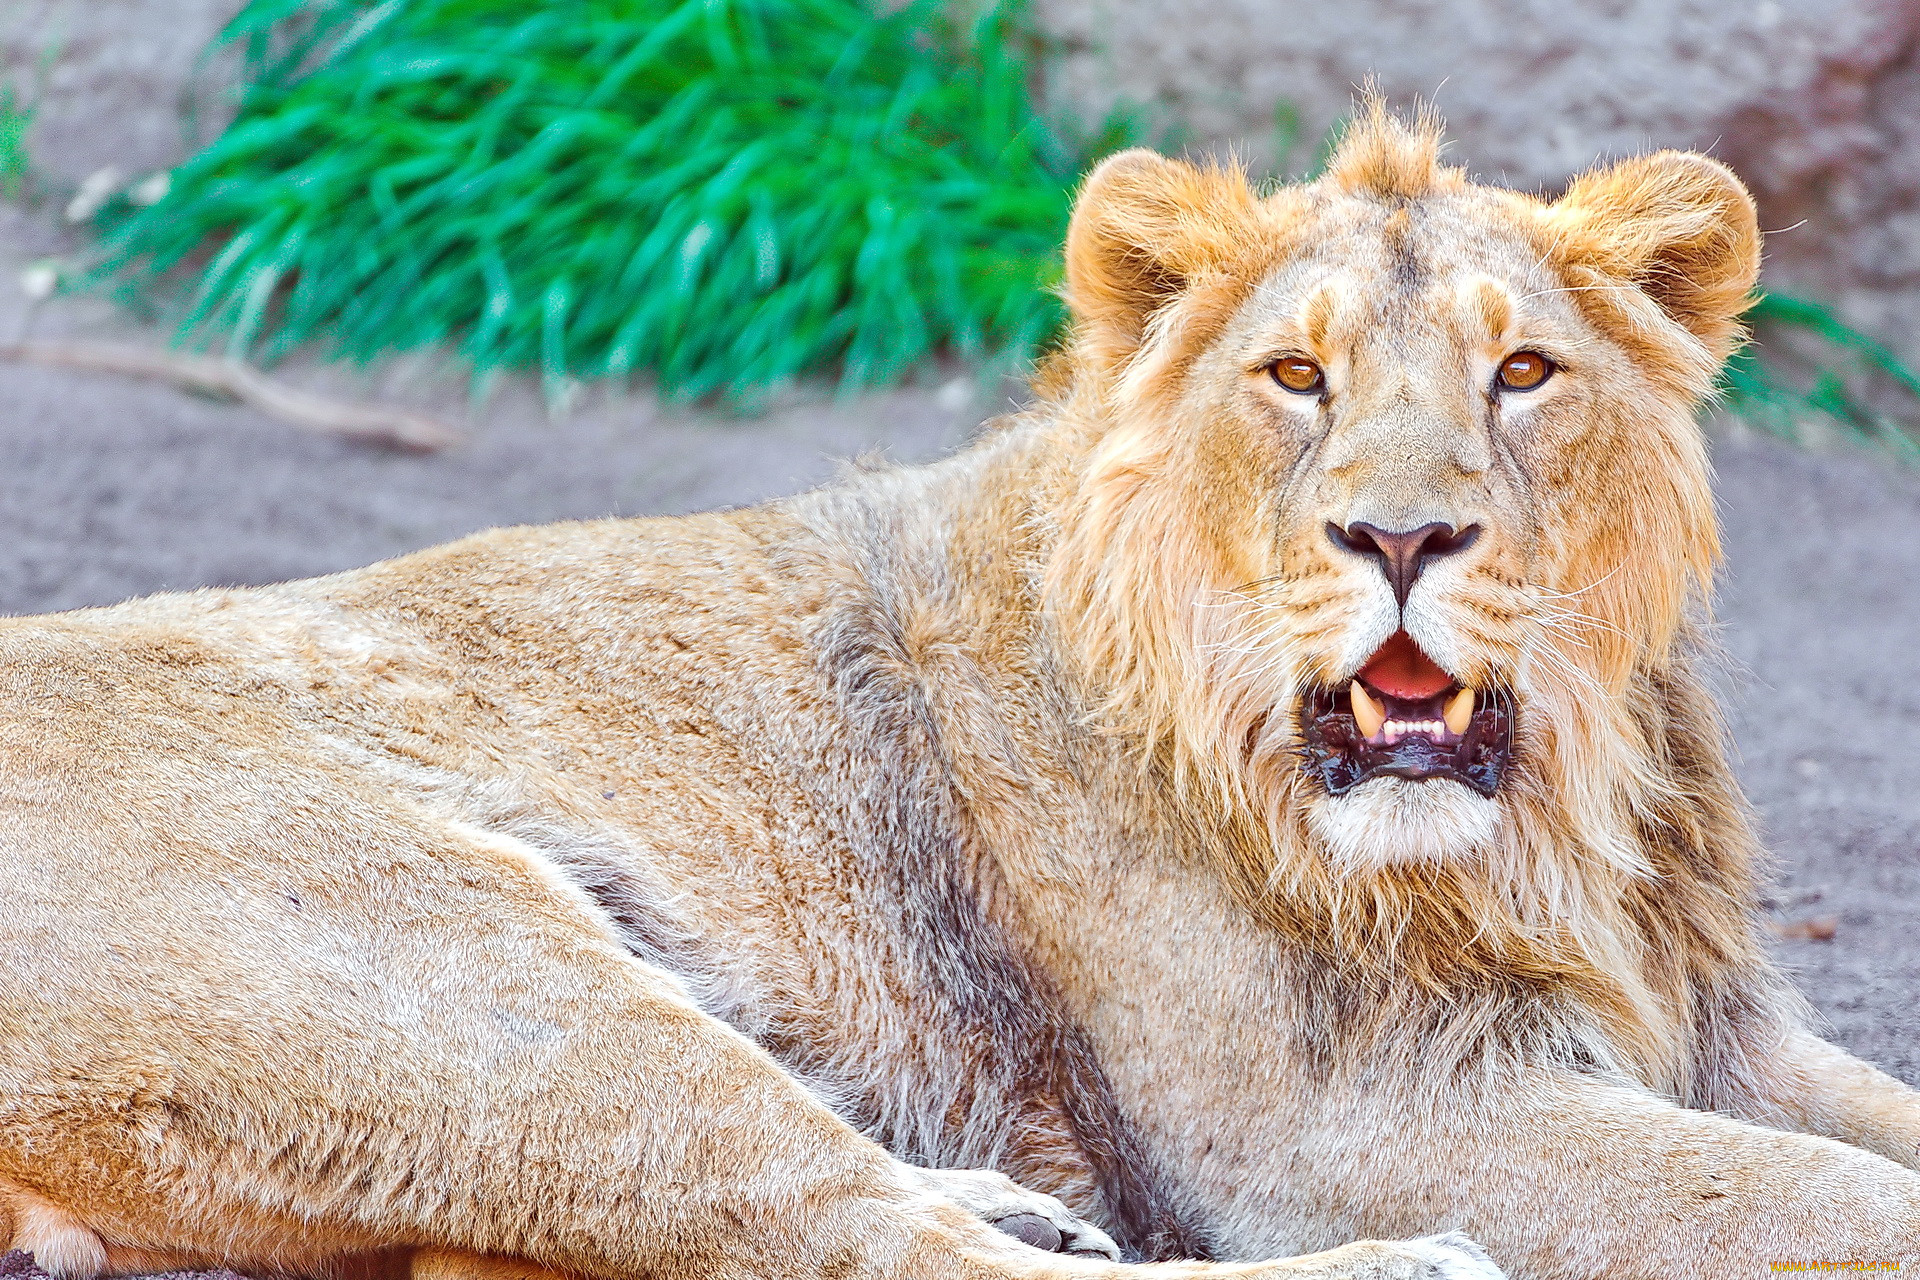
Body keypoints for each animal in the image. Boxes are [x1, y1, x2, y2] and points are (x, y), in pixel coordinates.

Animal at [3, 105, 1920, 1280]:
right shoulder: (1351, 1122)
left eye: (1521, 372)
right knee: (853, 1238)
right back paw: (1392, 1270)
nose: (1400, 536)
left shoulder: (1729, 1036)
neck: (1550, 829)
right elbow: (1827, 1199)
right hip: (464, 980)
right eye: (1295, 377)